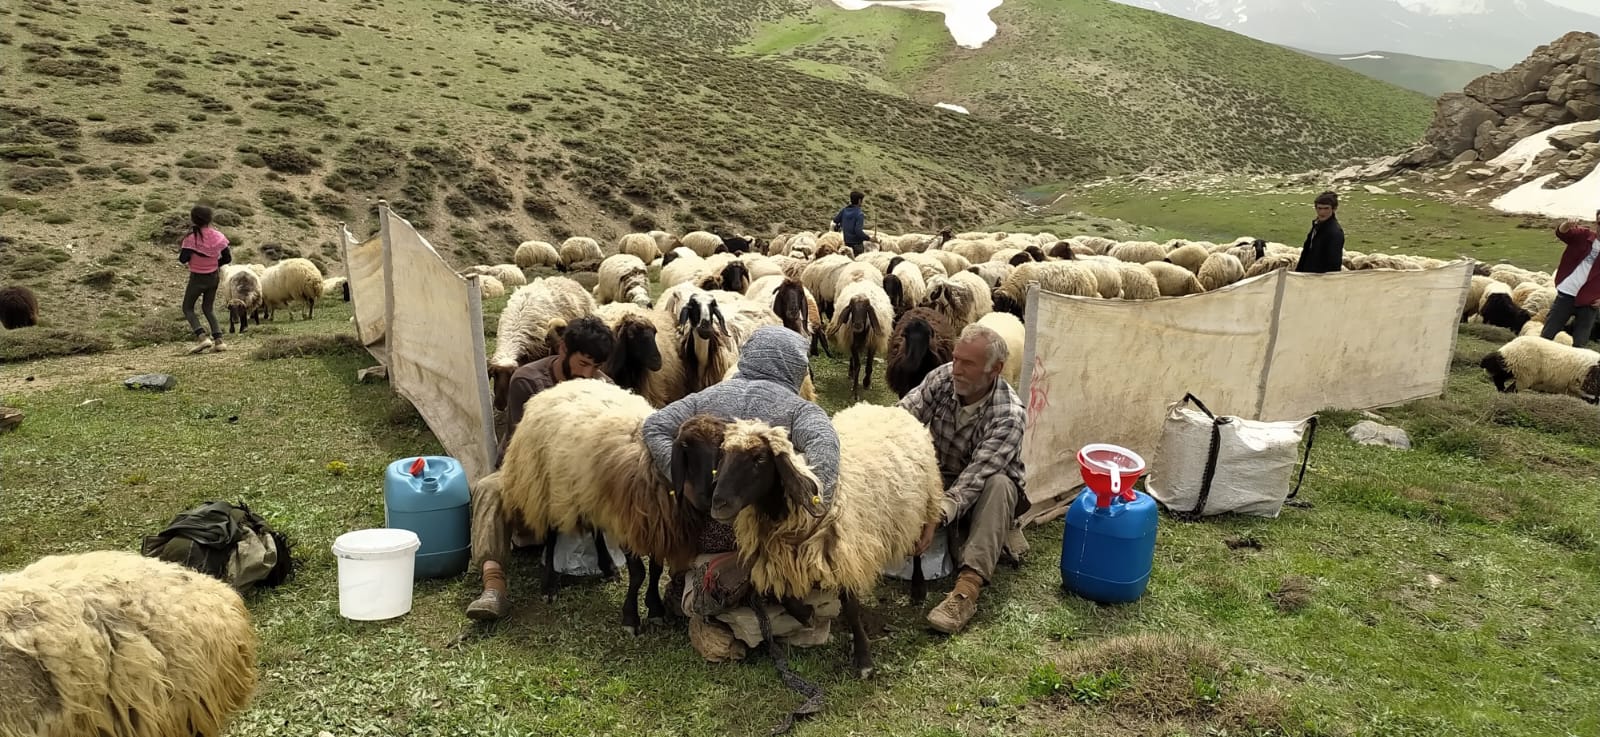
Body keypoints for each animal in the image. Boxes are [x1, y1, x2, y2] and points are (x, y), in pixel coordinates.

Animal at [492, 375, 707, 629]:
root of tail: (557, 388)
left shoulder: (655, 525)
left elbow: (655, 569)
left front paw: (655, 608)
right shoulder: (629, 523)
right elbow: (639, 574)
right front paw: (630, 618)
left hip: (589, 492)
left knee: (595, 529)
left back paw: (608, 567)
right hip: (547, 487)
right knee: (552, 535)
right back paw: (549, 586)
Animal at [707, 402, 940, 677]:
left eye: (759, 458)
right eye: (722, 455)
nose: (718, 504)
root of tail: (890, 408)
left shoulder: (843, 551)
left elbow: (851, 607)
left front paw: (863, 659)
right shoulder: (776, 554)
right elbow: (779, 592)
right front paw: (805, 613)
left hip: (922, 505)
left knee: (919, 550)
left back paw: (918, 589)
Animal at [1472, 334, 1600, 402]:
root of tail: (1508, 349)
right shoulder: (1586, 387)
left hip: (1514, 368)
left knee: (1500, 376)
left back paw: (1501, 390)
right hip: (1524, 372)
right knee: (1510, 385)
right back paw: (1504, 393)